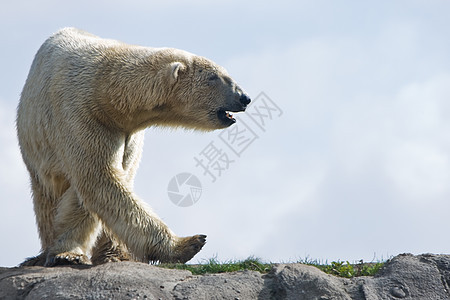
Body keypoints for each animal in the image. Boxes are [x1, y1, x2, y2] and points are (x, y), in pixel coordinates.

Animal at [17, 28, 250, 266]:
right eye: (214, 77)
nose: (244, 98)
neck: (106, 92)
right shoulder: (81, 115)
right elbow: (97, 179)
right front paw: (189, 243)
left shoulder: (128, 135)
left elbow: (103, 186)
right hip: (38, 148)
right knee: (47, 197)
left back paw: (115, 253)